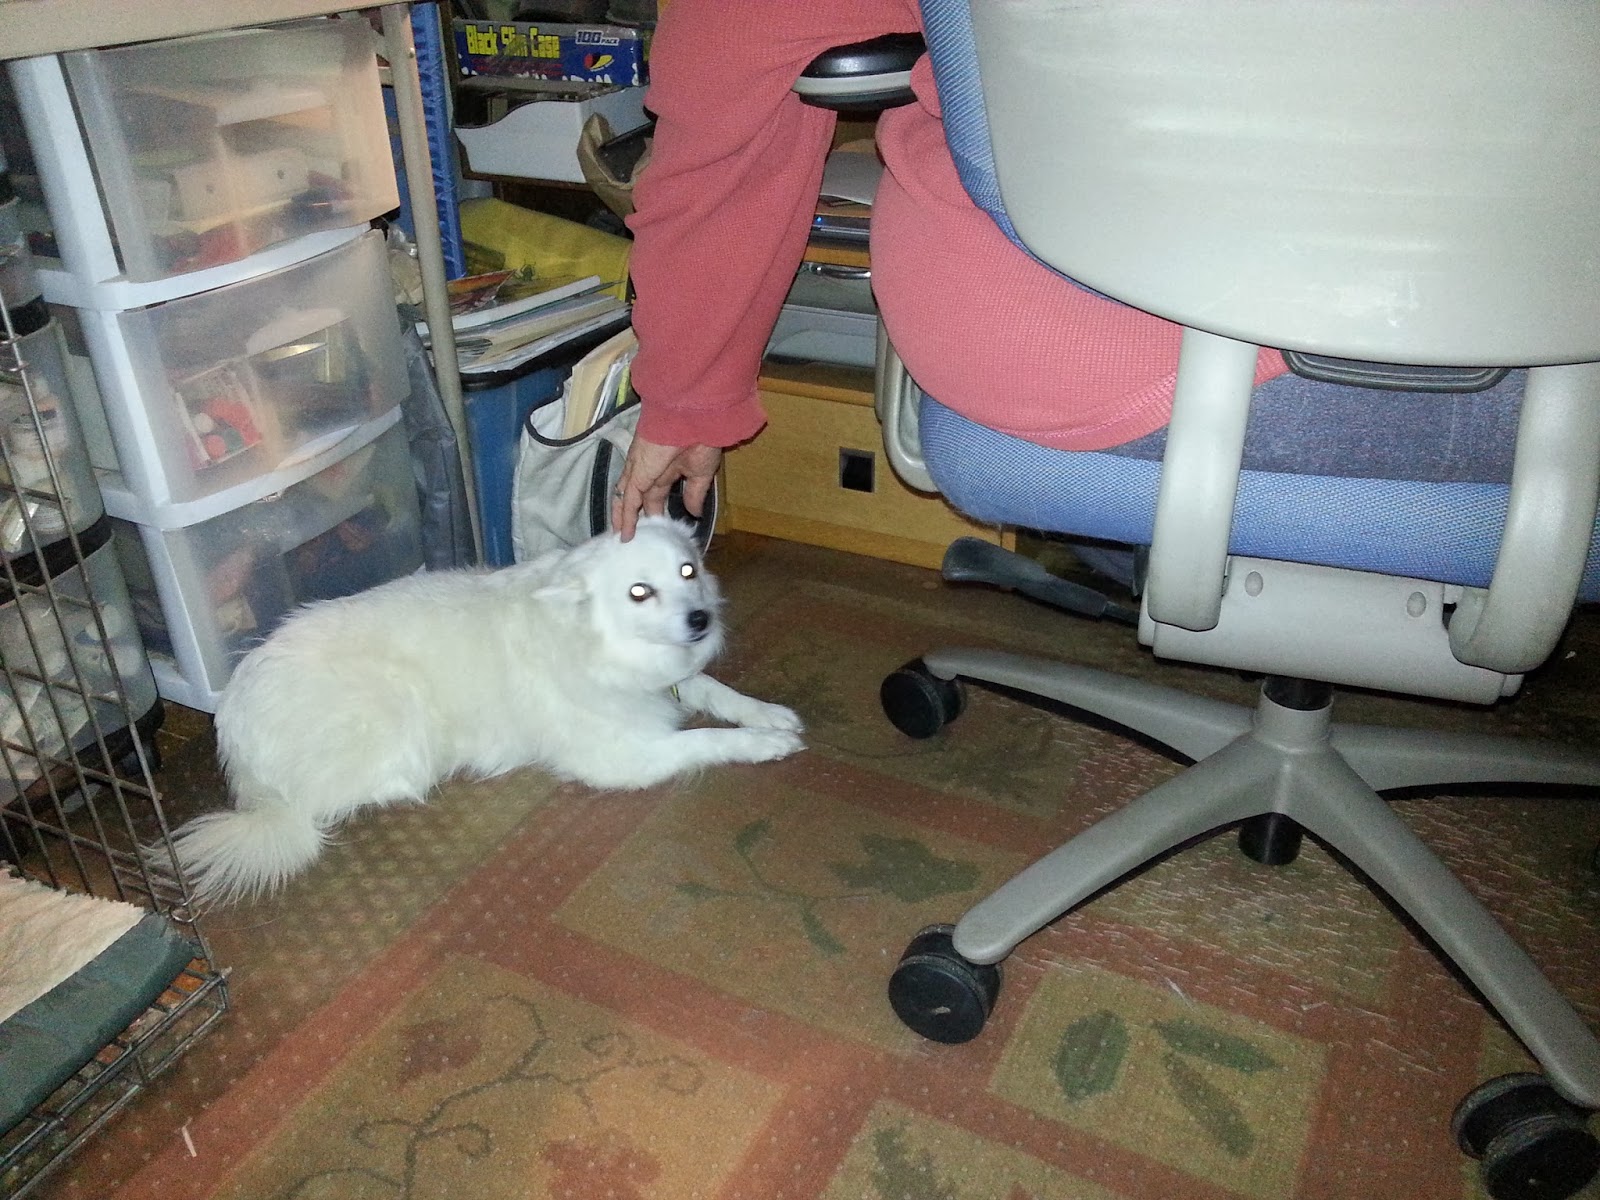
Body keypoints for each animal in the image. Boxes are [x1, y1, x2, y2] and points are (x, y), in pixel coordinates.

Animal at [167, 517, 803, 906]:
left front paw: (769, 714)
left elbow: (714, 691)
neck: (596, 645)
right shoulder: (619, 759)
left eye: (688, 571)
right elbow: (701, 739)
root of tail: (235, 739)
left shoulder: (670, 683)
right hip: (397, 709)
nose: (701, 620)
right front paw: (762, 744)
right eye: (639, 593)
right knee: (341, 797)